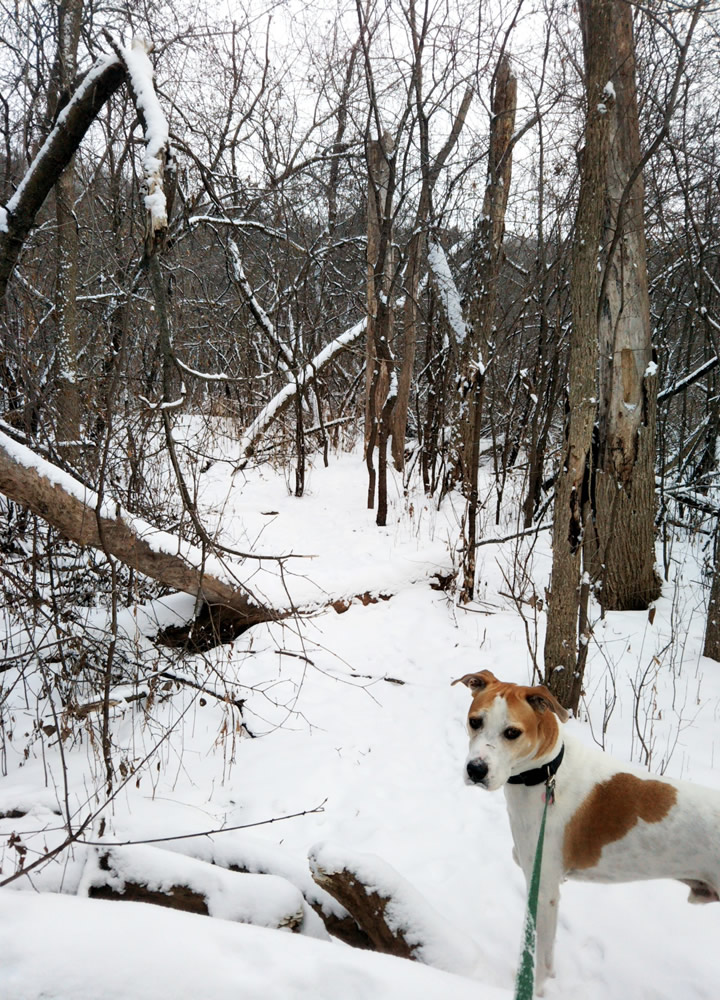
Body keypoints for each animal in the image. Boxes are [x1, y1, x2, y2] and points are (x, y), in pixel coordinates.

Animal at [452, 672, 720, 992]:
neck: (546, 773)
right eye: (475, 721)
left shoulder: (544, 889)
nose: (476, 770)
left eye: (512, 733)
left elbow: (542, 959)